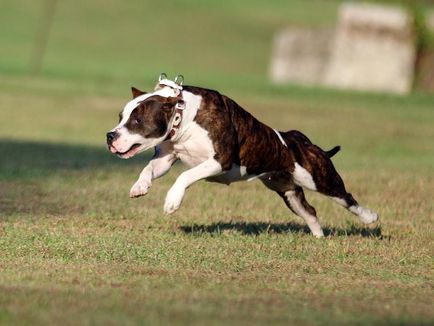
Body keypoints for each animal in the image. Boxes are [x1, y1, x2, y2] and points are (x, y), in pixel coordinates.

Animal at [107, 74, 378, 237]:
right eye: (120, 117)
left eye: (137, 120)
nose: (110, 135)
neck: (182, 116)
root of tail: (298, 140)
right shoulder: (165, 159)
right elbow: (149, 169)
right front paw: (139, 186)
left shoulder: (219, 161)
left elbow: (185, 176)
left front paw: (172, 201)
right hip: (287, 191)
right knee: (309, 210)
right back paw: (319, 237)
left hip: (319, 178)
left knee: (346, 198)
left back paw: (370, 217)